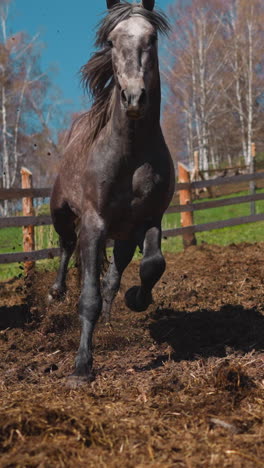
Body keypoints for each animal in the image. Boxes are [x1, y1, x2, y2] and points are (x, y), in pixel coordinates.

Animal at [49, 0, 175, 384]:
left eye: (151, 39)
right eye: (111, 41)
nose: (133, 98)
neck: (130, 155)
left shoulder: (150, 219)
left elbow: (152, 265)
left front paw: (138, 299)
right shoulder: (94, 224)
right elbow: (87, 296)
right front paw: (81, 368)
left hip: (123, 235)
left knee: (112, 278)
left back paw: (108, 318)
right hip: (61, 212)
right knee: (66, 245)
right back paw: (56, 292)